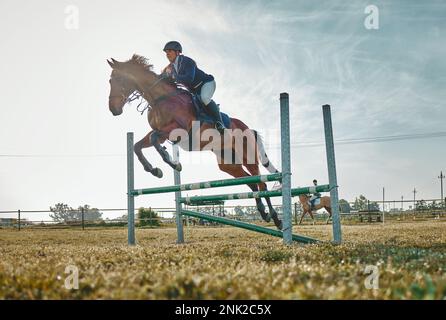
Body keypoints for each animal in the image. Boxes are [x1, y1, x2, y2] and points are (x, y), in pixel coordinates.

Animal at [106, 54, 282, 230]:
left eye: (118, 79)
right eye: (110, 81)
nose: (113, 109)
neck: (160, 98)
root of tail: (249, 128)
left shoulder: (179, 131)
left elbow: (154, 139)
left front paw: (173, 163)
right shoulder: (162, 132)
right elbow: (139, 145)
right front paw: (154, 170)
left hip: (248, 156)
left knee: (261, 183)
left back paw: (276, 219)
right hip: (228, 163)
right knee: (252, 184)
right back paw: (263, 213)